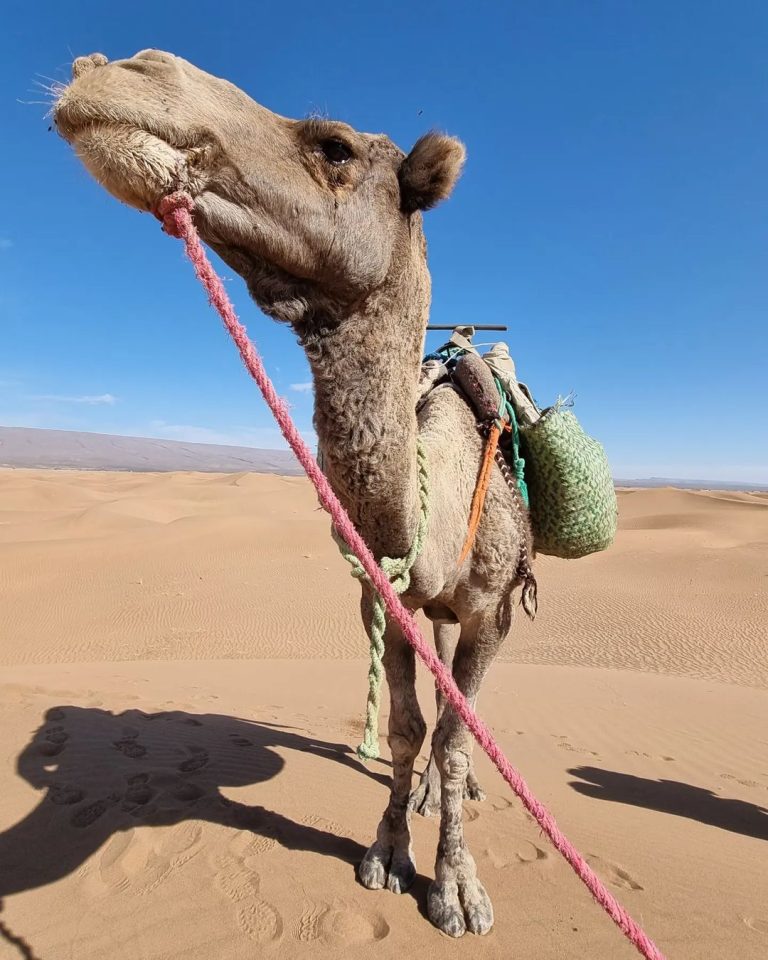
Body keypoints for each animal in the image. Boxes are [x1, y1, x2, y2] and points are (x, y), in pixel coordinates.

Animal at [53, 50, 537, 938]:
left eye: (336, 147)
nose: (120, 68)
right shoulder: (385, 594)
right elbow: (410, 728)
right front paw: (388, 852)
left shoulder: (492, 610)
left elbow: (455, 736)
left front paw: (458, 889)